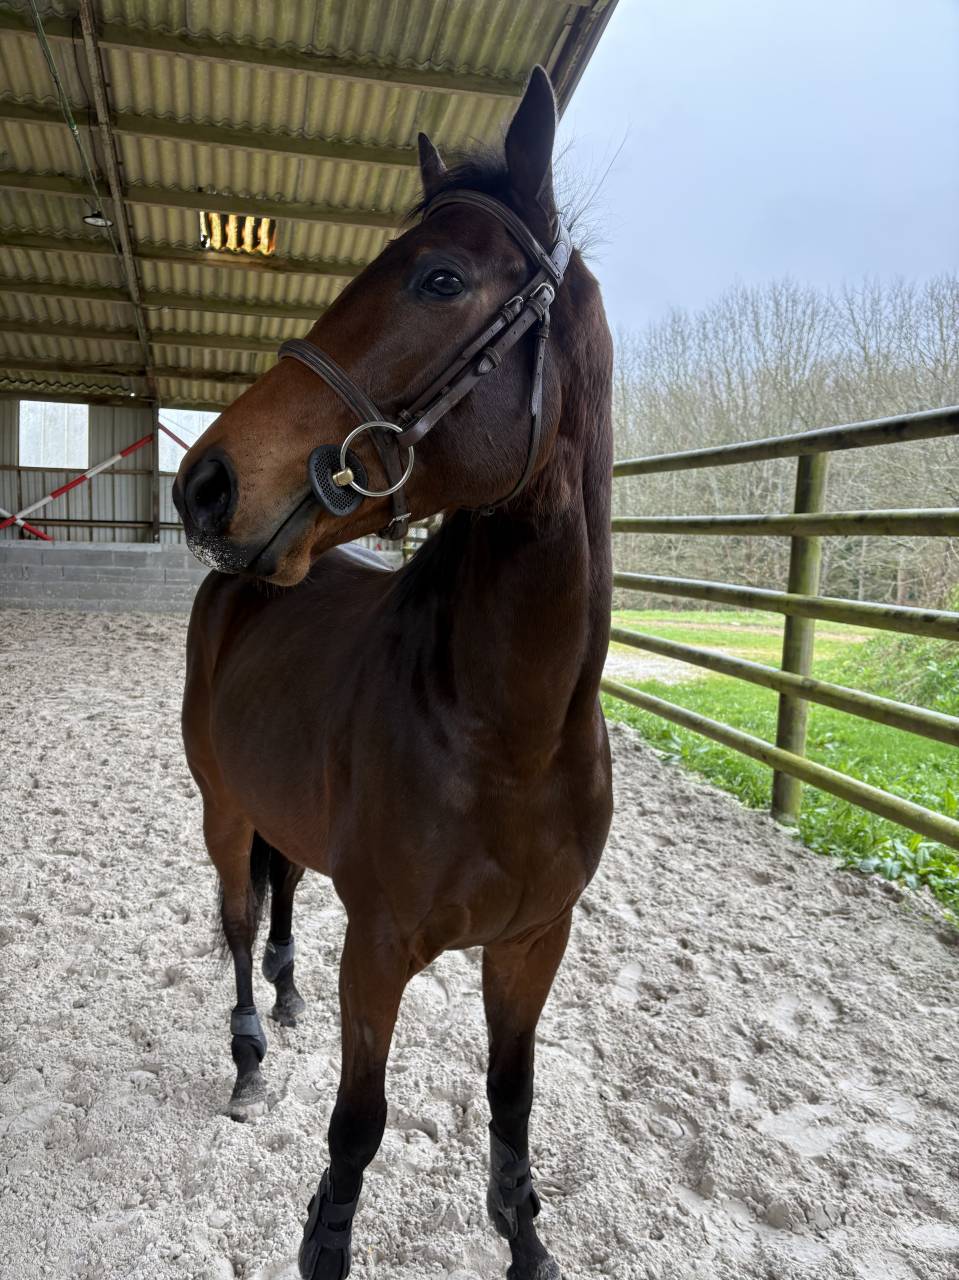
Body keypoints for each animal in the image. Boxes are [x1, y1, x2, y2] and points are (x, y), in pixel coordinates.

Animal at [173, 66, 613, 1280]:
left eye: (441, 277)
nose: (206, 482)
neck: (509, 736)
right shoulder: (377, 956)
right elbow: (355, 1131)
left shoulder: (529, 947)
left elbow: (511, 1103)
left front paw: (526, 1242)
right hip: (220, 804)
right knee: (238, 914)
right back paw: (246, 1052)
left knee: (279, 892)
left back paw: (282, 998)